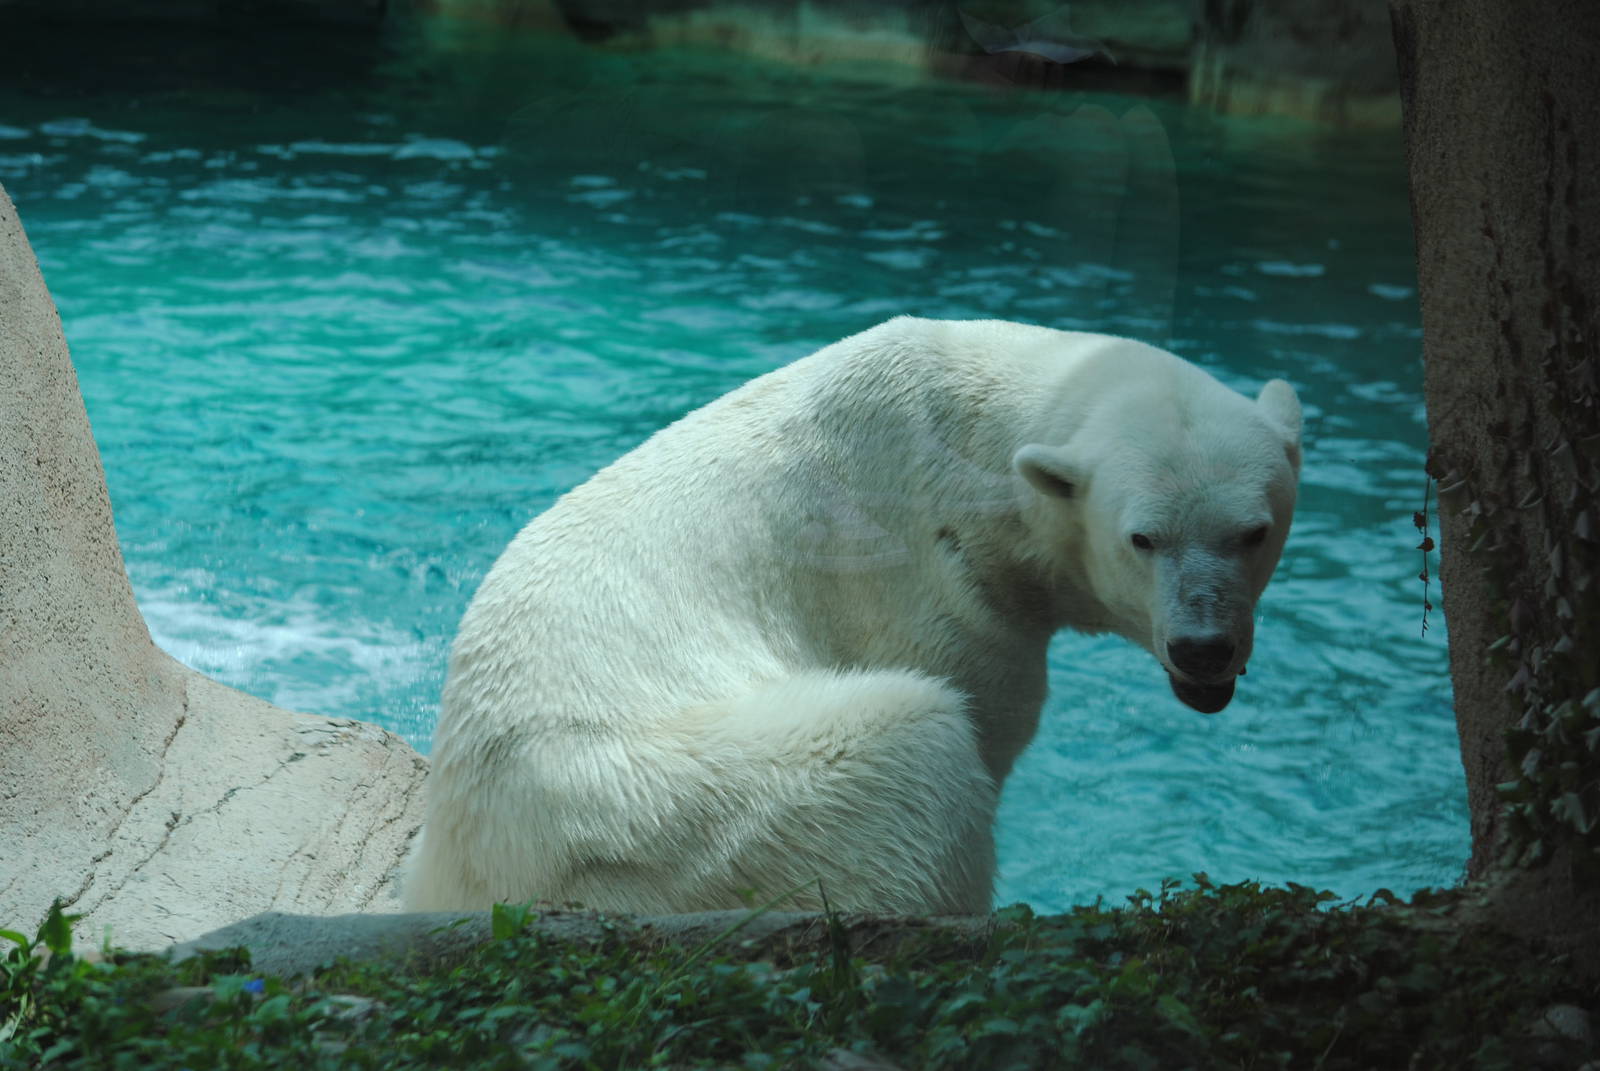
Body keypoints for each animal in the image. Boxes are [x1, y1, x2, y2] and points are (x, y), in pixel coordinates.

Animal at [405, 316, 1302, 916]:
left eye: (1253, 531)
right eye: (1142, 537)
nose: (1203, 648)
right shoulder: (933, 584)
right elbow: (979, 717)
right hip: (674, 822)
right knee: (909, 750)